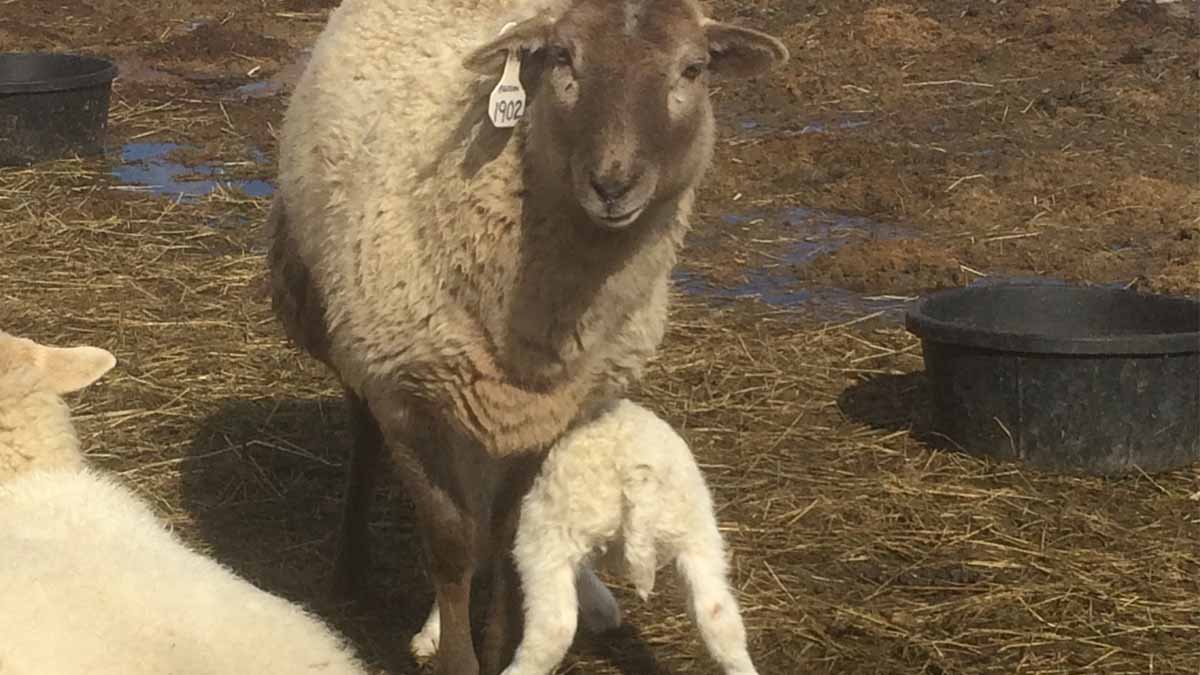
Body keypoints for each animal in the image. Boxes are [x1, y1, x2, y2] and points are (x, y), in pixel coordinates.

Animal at [408, 398, 753, 672]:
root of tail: (636, 477)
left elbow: (460, 569)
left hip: (546, 534)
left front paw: (429, 635)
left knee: (553, 629)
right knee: (719, 618)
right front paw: (603, 608)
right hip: (696, 530)